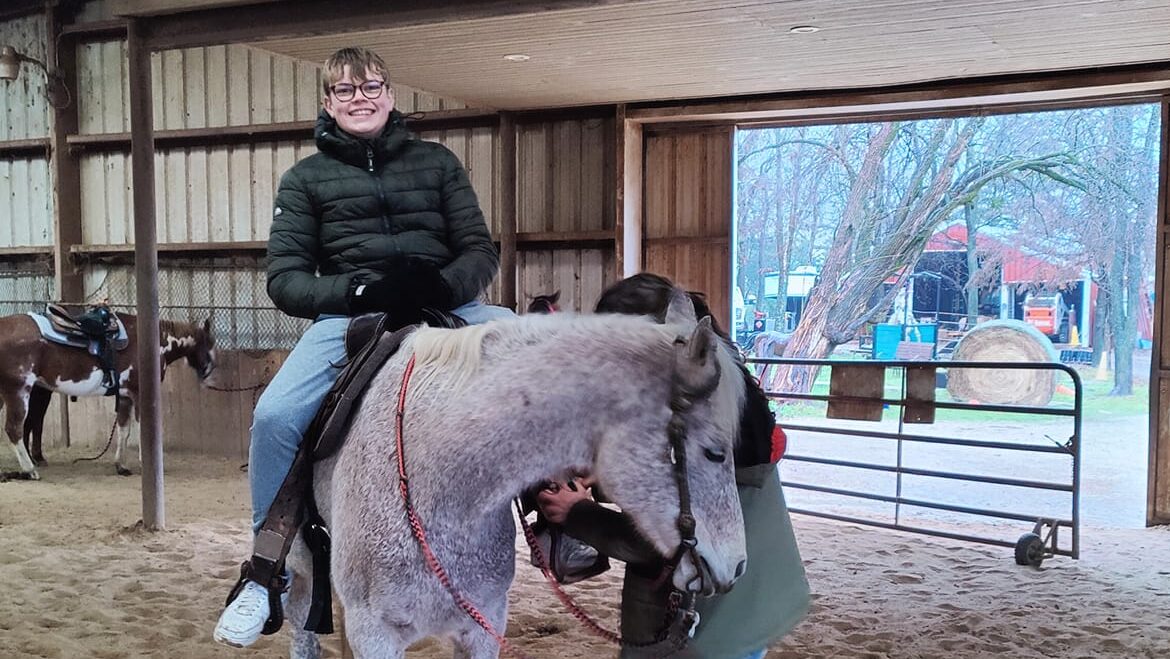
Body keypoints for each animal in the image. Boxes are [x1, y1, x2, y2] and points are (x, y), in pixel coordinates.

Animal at [0, 313, 217, 479]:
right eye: (210, 343)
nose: (209, 371)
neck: (156, 343)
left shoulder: (125, 397)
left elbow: (123, 430)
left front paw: (121, 466)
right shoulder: (140, 394)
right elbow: (142, 431)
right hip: (19, 391)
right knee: (14, 429)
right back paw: (30, 470)